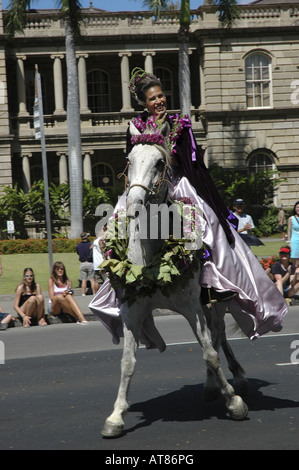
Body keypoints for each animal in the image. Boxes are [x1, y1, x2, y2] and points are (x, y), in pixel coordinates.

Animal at [101, 121, 248, 436]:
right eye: (129, 160)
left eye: (159, 162)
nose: (133, 205)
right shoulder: (132, 310)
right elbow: (127, 362)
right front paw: (116, 416)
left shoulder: (192, 307)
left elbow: (209, 353)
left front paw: (234, 403)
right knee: (217, 335)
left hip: (215, 302)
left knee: (217, 334)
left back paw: (231, 380)